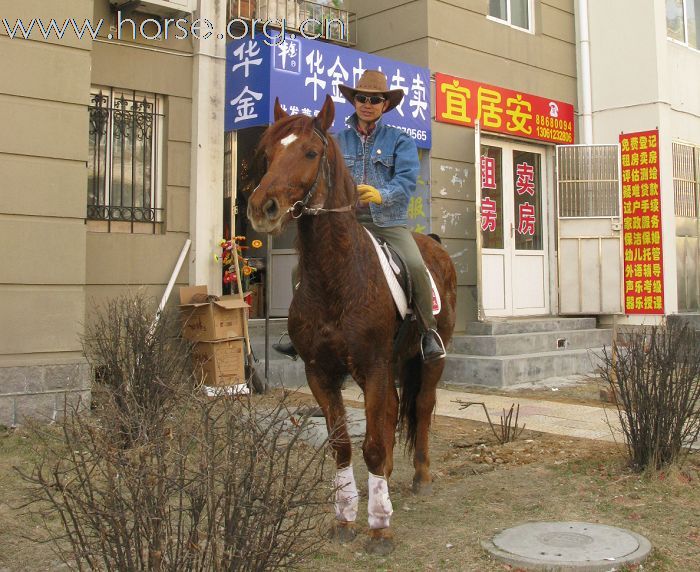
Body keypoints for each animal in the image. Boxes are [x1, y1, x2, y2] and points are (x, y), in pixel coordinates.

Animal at [247, 95, 460, 556]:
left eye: (310, 152)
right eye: (268, 153)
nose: (261, 208)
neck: (336, 275)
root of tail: (434, 244)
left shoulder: (373, 367)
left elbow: (375, 444)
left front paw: (379, 528)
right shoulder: (320, 373)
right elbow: (343, 446)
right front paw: (345, 517)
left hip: (430, 359)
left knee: (422, 407)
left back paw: (421, 476)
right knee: (395, 411)